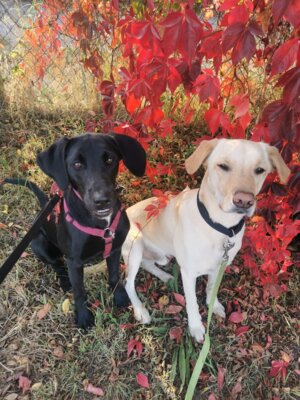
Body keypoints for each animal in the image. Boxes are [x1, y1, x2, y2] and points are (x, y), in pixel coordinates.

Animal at [3, 133, 146, 330]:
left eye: (109, 159)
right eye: (77, 164)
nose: (102, 200)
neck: (102, 224)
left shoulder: (115, 249)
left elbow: (114, 275)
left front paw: (119, 297)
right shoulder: (74, 261)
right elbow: (79, 291)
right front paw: (84, 317)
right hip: (38, 244)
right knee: (56, 264)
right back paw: (64, 281)